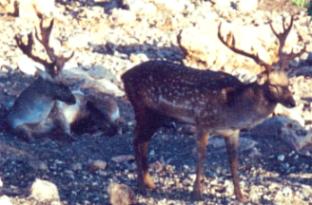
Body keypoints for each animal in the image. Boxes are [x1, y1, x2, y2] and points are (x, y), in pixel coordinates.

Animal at [121, 15, 304, 202]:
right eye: (273, 85)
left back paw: (149, 183)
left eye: (288, 82)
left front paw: (240, 196)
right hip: (144, 109)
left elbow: (233, 161)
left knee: (142, 141)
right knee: (137, 140)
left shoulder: (233, 132)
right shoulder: (203, 122)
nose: (292, 103)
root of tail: (123, 76)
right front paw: (196, 193)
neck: (234, 108)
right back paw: (142, 187)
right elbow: (201, 156)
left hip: (157, 116)